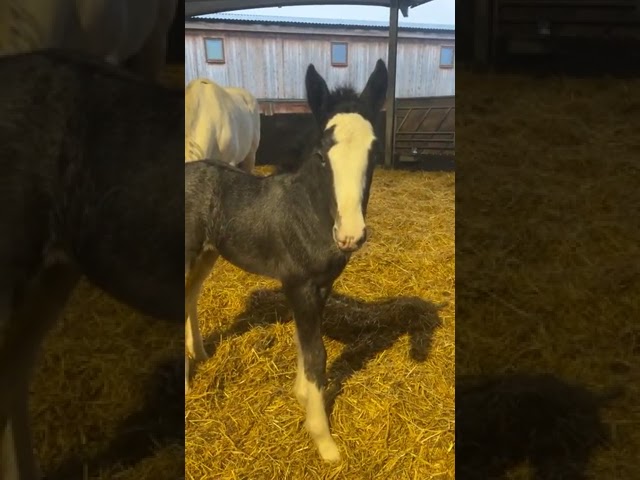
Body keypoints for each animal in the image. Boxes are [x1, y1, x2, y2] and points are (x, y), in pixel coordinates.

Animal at [182, 60, 388, 462]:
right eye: (322, 155)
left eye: (373, 152)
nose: (351, 235)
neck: (308, 212)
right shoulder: (300, 285)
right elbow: (316, 354)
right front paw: (324, 441)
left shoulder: (318, 287)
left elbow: (304, 344)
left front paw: (302, 396)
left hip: (208, 254)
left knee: (190, 297)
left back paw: (198, 352)